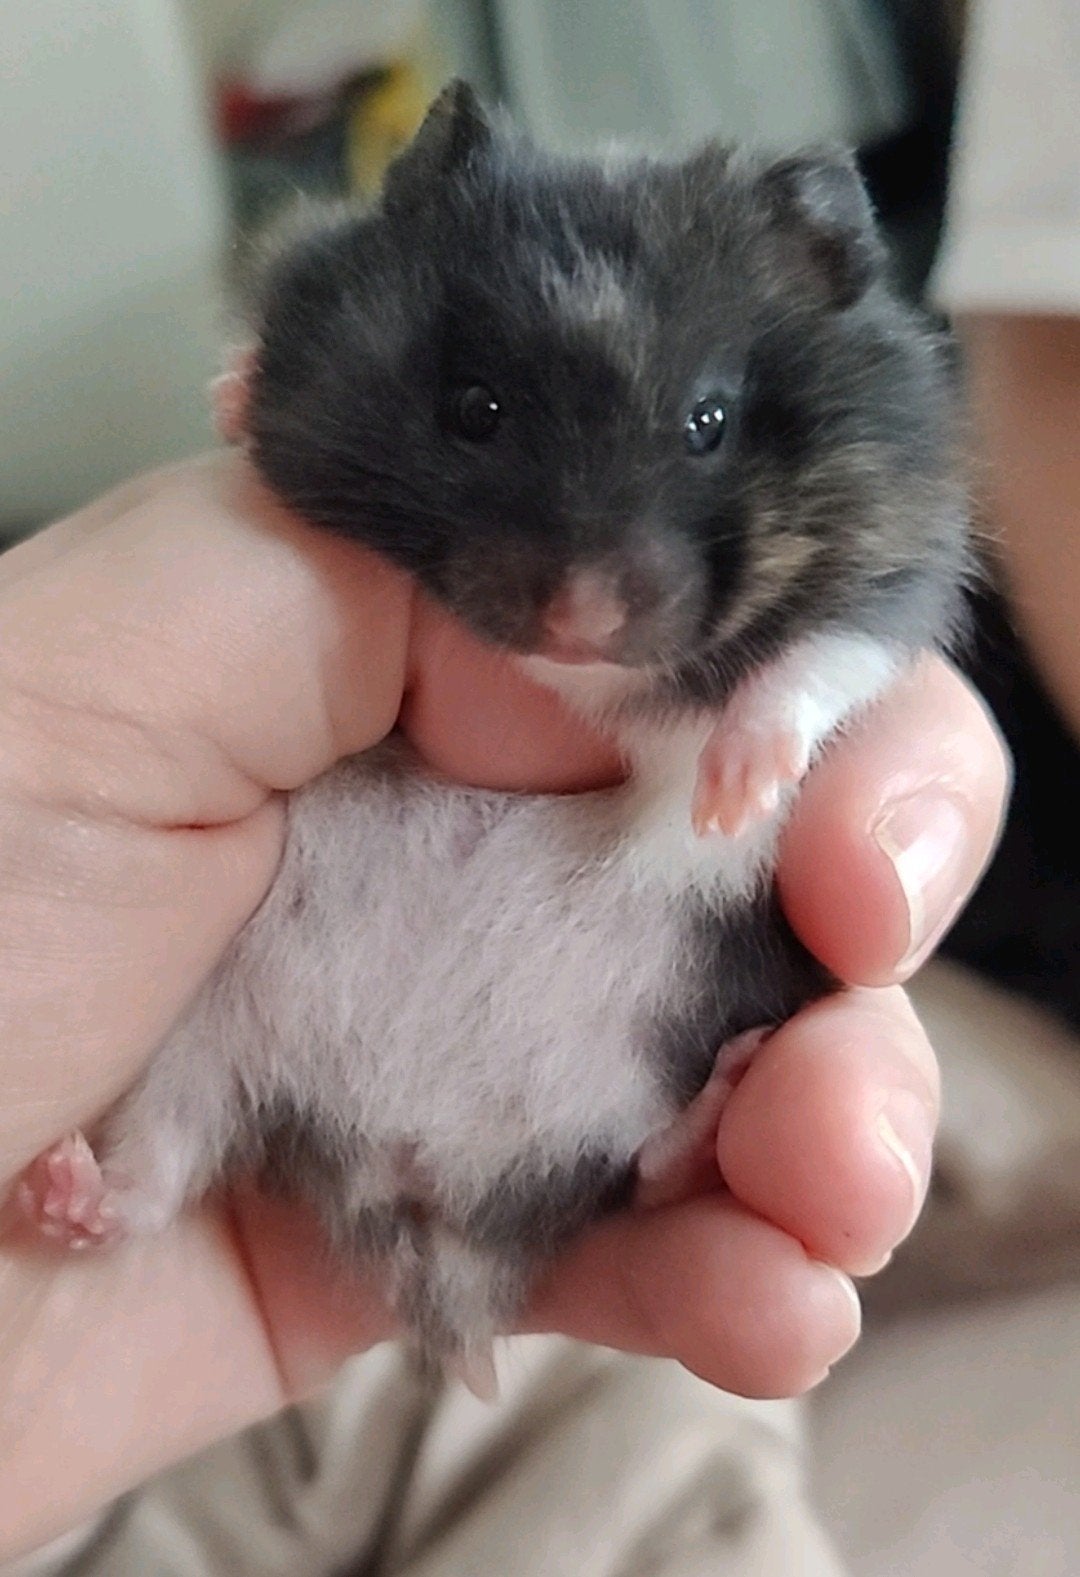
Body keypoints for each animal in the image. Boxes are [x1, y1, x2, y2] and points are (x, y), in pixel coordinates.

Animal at [21, 82, 969, 1390]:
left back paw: (723, 1099)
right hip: (201, 1034)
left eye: (710, 421)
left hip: (657, 1028)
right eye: (476, 409)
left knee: (645, 1165)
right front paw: (231, 390)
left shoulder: (896, 575)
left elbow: (814, 667)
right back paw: (56, 1191)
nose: (580, 620)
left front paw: (732, 790)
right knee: (157, 1175)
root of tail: (425, 1179)